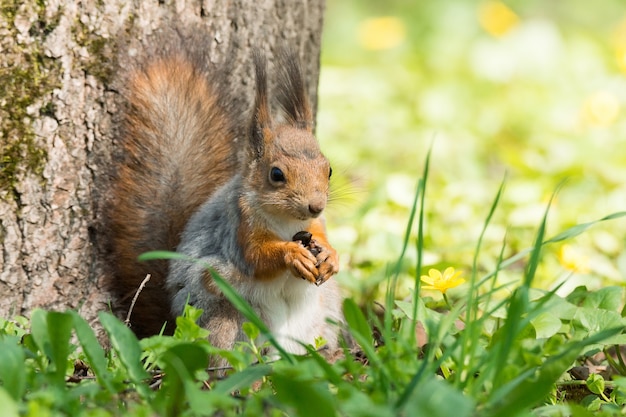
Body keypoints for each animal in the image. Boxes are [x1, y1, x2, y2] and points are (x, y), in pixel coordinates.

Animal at [106, 35, 342, 360]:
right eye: (276, 174)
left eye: (328, 169)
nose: (315, 205)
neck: (287, 222)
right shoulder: (239, 226)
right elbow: (256, 258)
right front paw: (292, 254)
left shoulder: (315, 224)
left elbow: (321, 237)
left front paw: (330, 256)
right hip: (224, 320)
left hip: (323, 317)